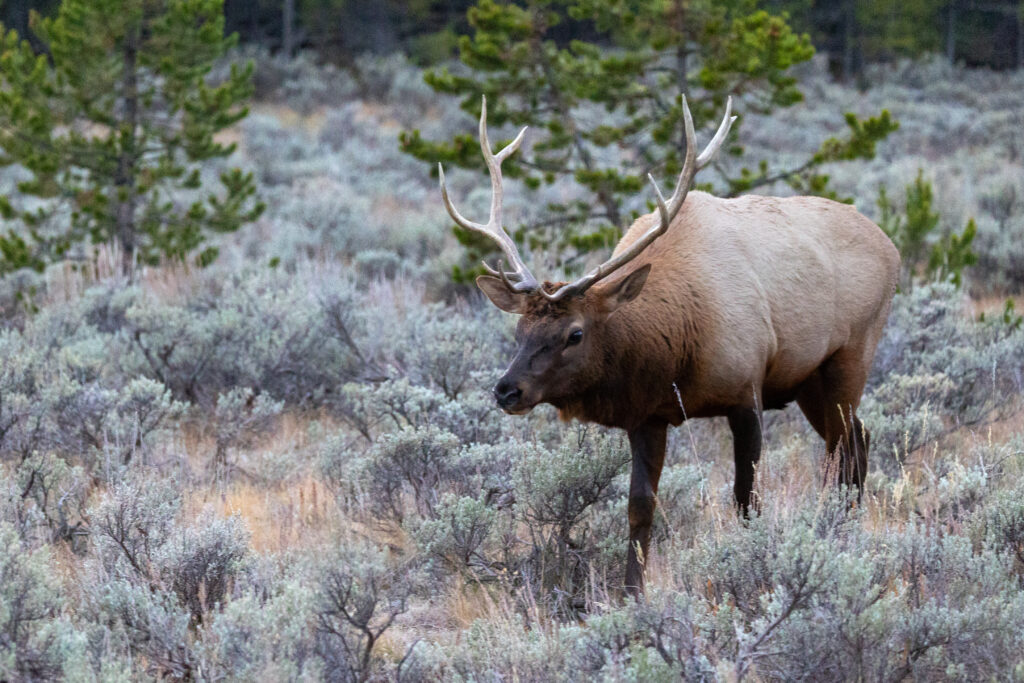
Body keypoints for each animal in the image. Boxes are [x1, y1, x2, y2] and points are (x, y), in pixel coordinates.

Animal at [436, 96, 901, 593]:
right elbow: (640, 507)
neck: (678, 347)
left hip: (851, 355)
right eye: (519, 331)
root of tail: (891, 246)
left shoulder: (747, 392)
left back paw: (841, 534)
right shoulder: (648, 415)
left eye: (574, 333)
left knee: (843, 449)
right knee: (858, 439)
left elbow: (746, 498)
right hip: (808, 380)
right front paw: (630, 592)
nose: (507, 390)